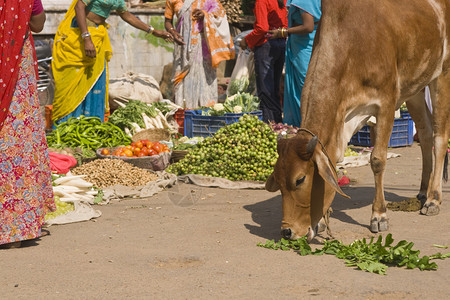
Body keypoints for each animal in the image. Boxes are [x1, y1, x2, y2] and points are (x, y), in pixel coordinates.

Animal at [266, 0, 448, 240]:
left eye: (300, 179)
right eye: (277, 180)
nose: (287, 231)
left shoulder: (386, 104)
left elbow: (378, 160)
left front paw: (379, 215)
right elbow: (334, 161)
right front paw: (322, 219)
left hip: (442, 75)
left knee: (439, 137)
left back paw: (433, 199)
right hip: (415, 88)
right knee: (425, 134)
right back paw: (422, 191)